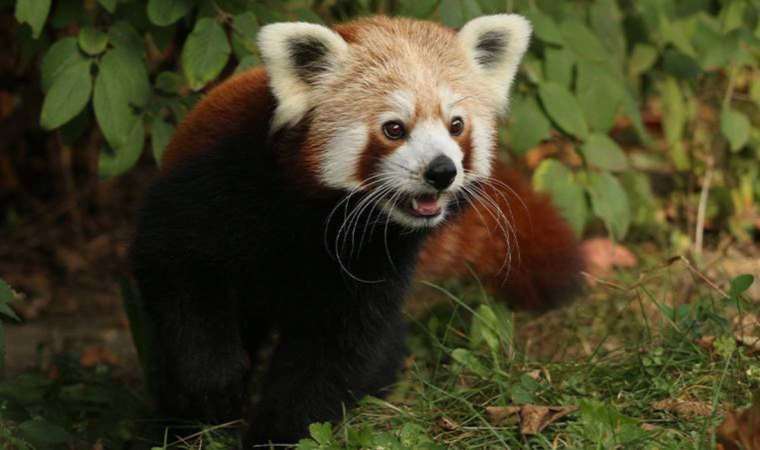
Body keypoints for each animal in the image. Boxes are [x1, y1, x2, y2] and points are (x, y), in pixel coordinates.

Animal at [132, 14, 580, 446]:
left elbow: (335, 352)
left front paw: (281, 434)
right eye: (394, 128)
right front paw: (214, 385)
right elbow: (179, 276)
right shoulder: (215, 184)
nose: (442, 171)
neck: (315, 217)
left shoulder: (373, 262)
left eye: (456, 125)